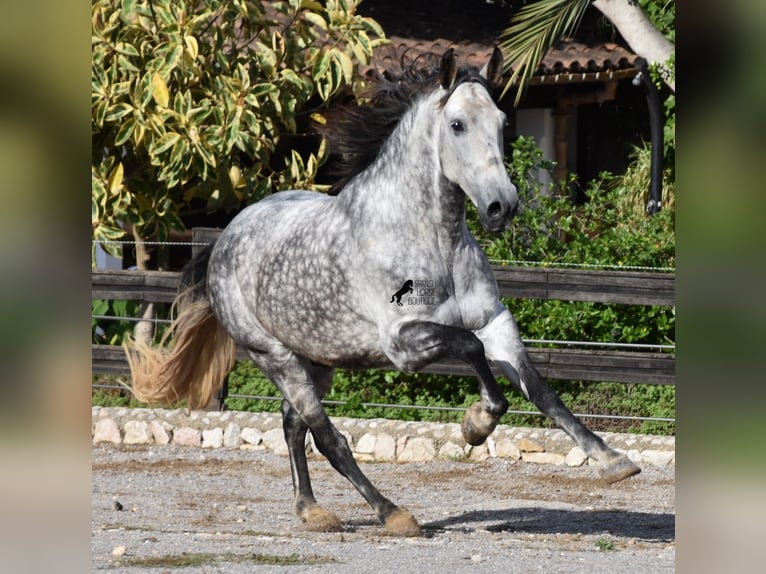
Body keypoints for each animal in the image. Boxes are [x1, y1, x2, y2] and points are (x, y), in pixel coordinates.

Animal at [127, 47, 640, 536]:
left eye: (502, 122)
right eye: (457, 124)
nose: (502, 206)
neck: (432, 240)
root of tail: (225, 239)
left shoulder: (495, 321)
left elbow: (538, 388)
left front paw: (613, 460)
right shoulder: (403, 343)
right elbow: (470, 349)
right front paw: (476, 424)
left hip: (318, 361)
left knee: (293, 425)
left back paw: (312, 511)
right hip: (276, 357)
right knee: (327, 437)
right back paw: (392, 513)